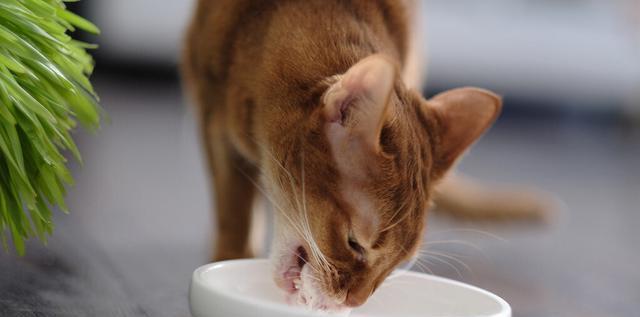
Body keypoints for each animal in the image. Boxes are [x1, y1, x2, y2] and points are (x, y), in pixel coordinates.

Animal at [180, 0, 544, 312]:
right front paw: (228, 254)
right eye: (354, 243)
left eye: (400, 262)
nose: (355, 301)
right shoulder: (214, 122)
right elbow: (234, 214)